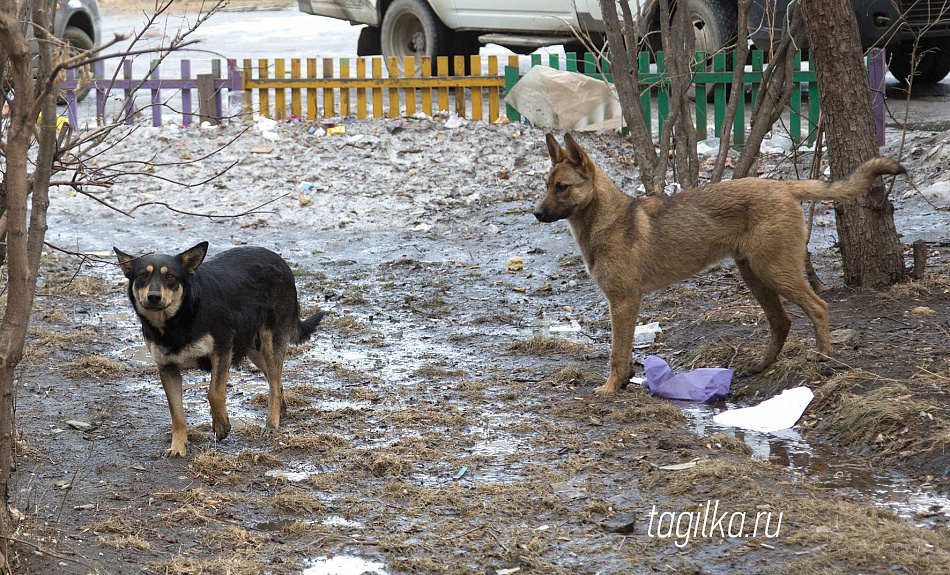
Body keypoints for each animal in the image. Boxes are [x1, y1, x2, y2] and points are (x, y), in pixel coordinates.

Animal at [112, 241, 324, 456]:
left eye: (170, 276)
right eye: (142, 275)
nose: (153, 297)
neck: (177, 320)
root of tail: (280, 260)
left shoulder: (222, 351)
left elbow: (214, 392)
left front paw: (221, 425)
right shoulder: (167, 367)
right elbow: (176, 413)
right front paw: (178, 446)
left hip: (271, 343)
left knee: (274, 384)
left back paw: (272, 424)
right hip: (253, 349)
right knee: (278, 384)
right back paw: (280, 412)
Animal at [536, 133, 908, 394]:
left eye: (562, 187)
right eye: (546, 186)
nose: (537, 214)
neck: (607, 219)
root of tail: (783, 187)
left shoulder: (624, 301)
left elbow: (617, 353)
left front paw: (611, 388)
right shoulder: (624, 304)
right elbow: (623, 353)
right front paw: (624, 382)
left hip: (775, 272)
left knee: (818, 307)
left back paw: (822, 356)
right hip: (755, 276)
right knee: (782, 322)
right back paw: (761, 366)